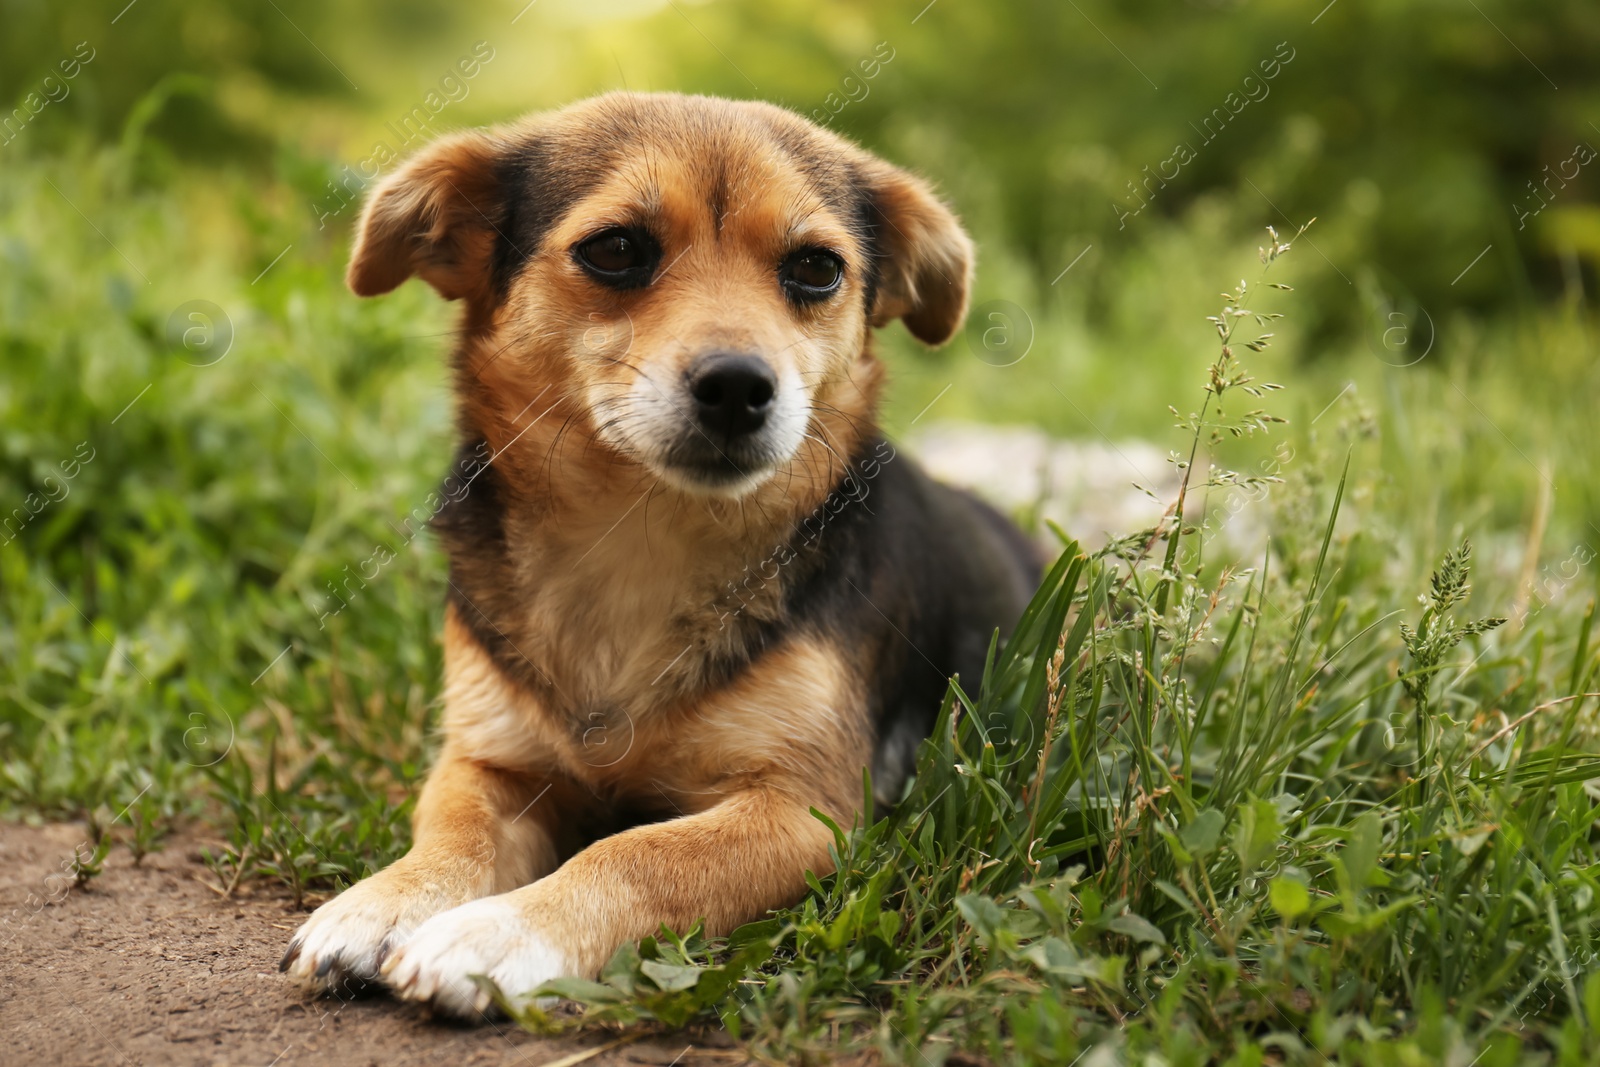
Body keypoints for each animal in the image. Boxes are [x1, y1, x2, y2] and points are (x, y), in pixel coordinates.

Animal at [278, 91, 1036, 1017]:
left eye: (816, 268)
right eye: (615, 249)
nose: (738, 385)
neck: (640, 540)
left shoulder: (804, 809)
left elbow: (636, 852)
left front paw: (497, 932)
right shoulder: (487, 757)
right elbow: (452, 829)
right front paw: (382, 900)